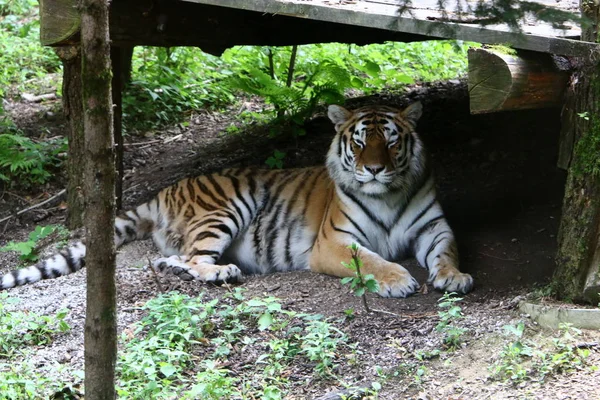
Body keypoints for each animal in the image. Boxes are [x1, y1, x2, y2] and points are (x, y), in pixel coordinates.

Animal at [2, 103, 476, 296]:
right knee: (193, 258)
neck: (386, 195)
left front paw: (453, 277)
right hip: (228, 206)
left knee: (172, 258)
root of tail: (164, 190)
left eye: (391, 141)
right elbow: (372, 260)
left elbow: (447, 252)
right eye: (359, 142)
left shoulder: (435, 228)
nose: (374, 169)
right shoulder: (334, 243)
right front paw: (398, 280)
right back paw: (222, 272)